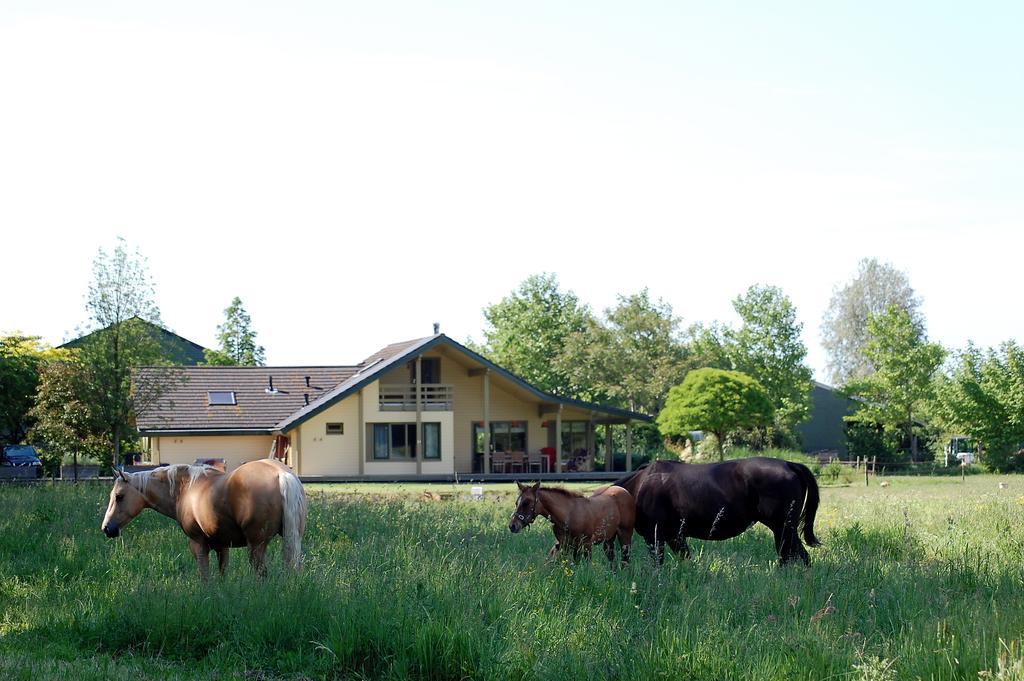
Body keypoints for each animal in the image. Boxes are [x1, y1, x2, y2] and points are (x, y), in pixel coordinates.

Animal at [610, 456, 819, 561]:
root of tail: (789, 464)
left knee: (796, 557)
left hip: (784, 529)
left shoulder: (655, 536)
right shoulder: (675, 537)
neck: (639, 486)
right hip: (784, 531)